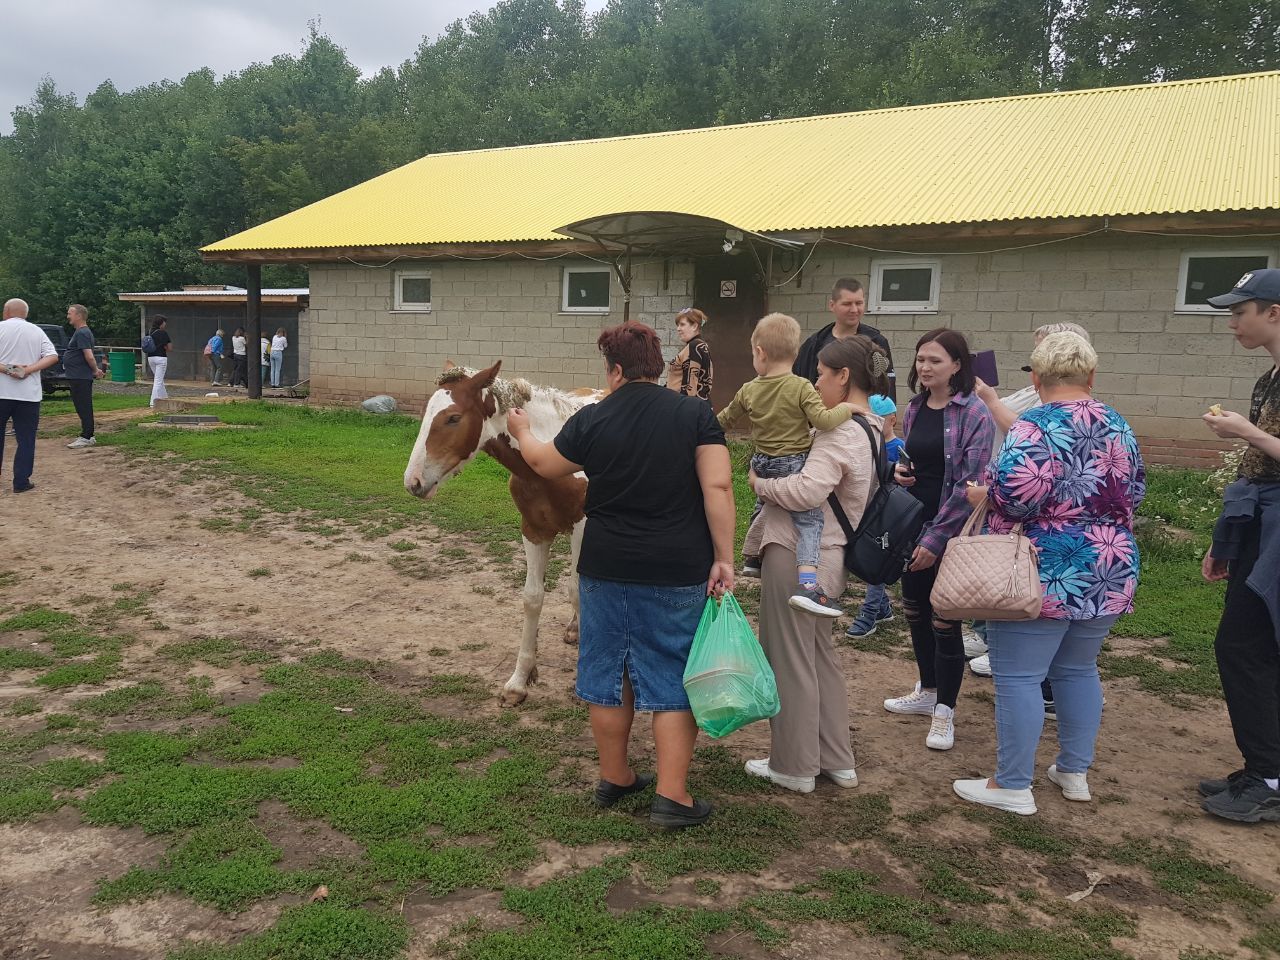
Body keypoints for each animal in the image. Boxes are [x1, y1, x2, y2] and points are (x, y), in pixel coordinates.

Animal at [401, 360, 601, 706]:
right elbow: (533, 598)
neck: (552, 453)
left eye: (453, 417)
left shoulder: (582, 529)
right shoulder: (533, 530)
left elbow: (580, 592)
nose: (413, 482)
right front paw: (519, 682)